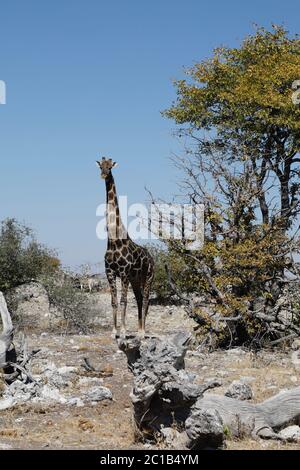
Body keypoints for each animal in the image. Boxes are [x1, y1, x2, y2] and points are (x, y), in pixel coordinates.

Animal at [96, 157, 155, 338]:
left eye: (110, 167)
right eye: (100, 166)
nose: (103, 175)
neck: (114, 240)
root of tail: (153, 259)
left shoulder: (123, 272)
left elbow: (123, 301)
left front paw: (122, 332)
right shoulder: (109, 272)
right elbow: (114, 301)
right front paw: (114, 331)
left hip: (149, 277)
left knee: (146, 300)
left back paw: (142, 332)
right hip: (136, 280)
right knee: (139, 299)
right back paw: (138, 329)